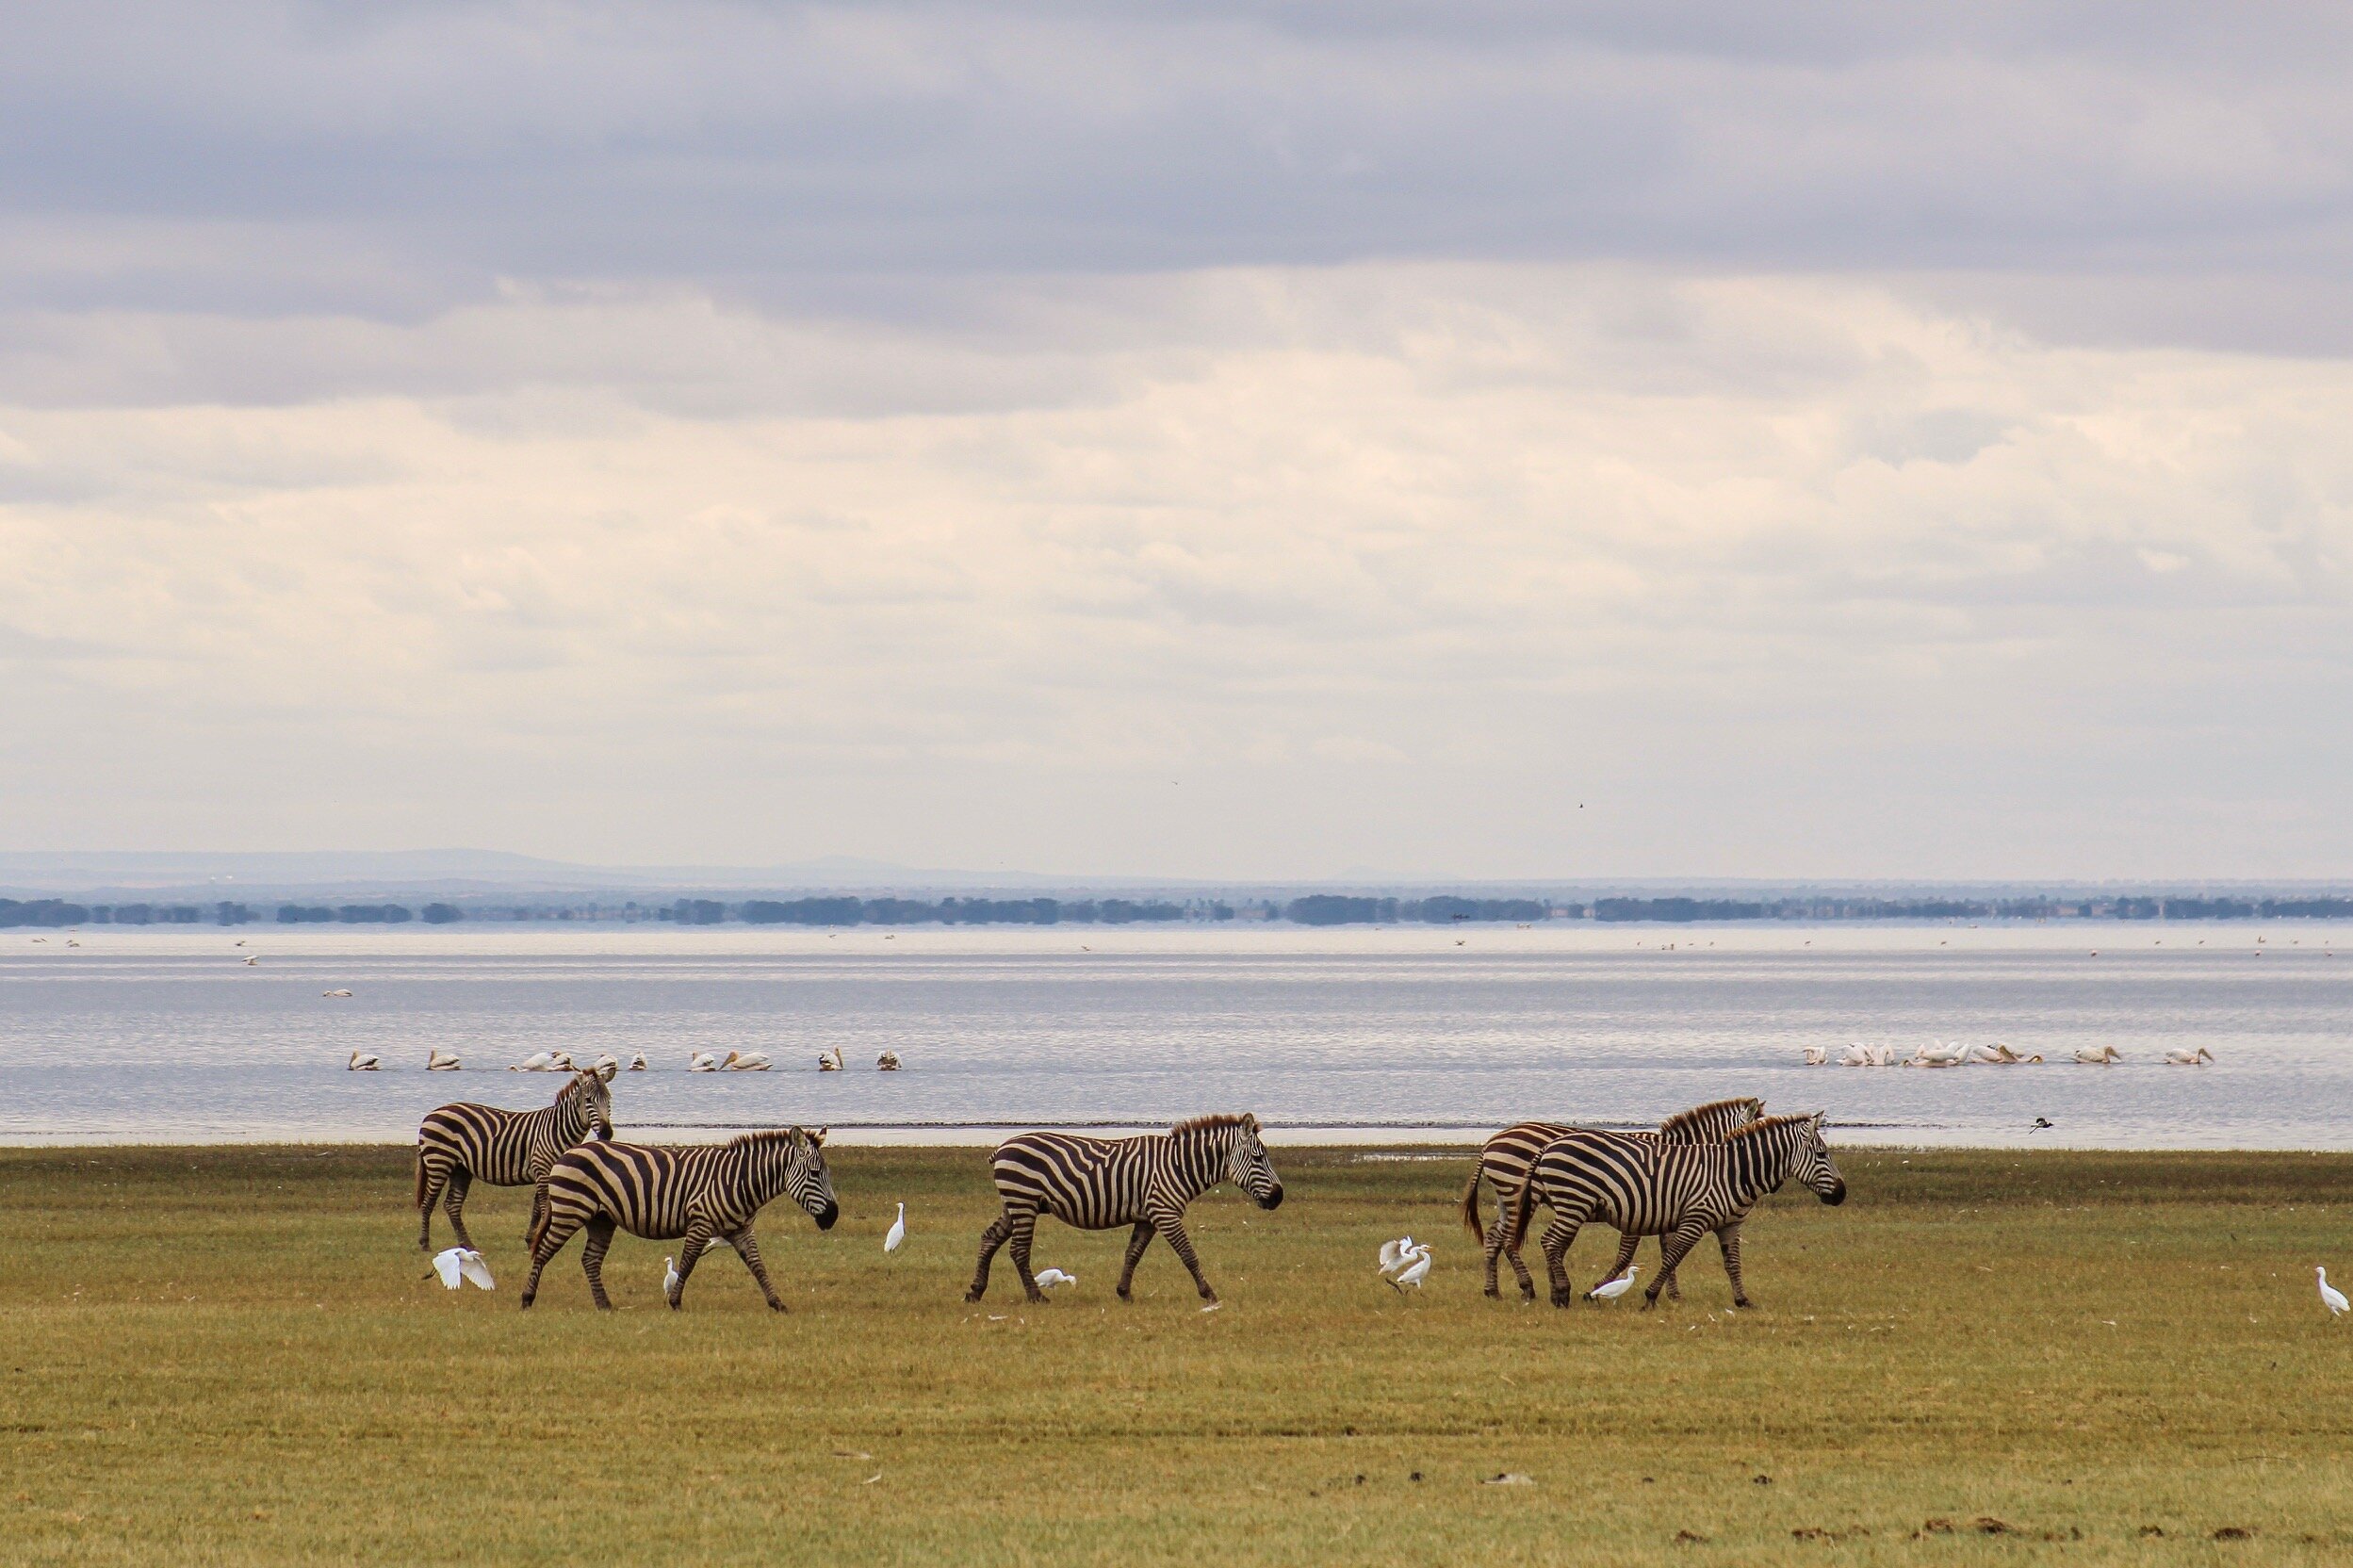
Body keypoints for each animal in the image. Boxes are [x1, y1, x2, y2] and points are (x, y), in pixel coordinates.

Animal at [416, 1054, 616, 1252]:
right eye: (589, 1100)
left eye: (609, 1100)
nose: (607, 1133)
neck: (558, 1129)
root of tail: (431, 1114)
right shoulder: (542, 1169)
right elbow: (544, 1207)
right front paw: (538, 1239)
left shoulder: (548, 1173)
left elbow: (537, 1209)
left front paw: (531, 1239)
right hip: (439, 1161)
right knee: (428, 1202)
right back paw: (425, 1243)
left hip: (460, 1168)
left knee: (452, 1205)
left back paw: (467, 1244)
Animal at [519, 1125, 842, 1309]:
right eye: (815, 1174)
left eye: (826, 1173)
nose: (833, 1217)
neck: (738, 1181)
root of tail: (569, 1151)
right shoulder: (700, 1223)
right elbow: (687, 1264)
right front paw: (675, 1302)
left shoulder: (741, 1230)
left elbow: (759, 1267)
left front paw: (777, 1303)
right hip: (570, 1210)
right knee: (543, 1251)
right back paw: (527, 1299)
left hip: (601, 1219)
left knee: (590, 1259)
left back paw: (605, 1305)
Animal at [959, 1111, 1280, 1309]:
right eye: (1258, 1158)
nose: (1279, 1197)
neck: (1178, 1166)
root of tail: (1003, 1146)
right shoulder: (1165, 1212)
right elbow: (1189, 1255)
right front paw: (1209, 1294)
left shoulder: (1148, 1217)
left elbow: (1133, 1254)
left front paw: (1124, 1293)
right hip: (1023, 1202)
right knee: (1018, 1251)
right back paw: (1036, 1297)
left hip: (1013, 1204)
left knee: (989, 1239)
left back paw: (975, 1291)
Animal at [1449, 1087, 1769, 1290]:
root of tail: (1491, 1142)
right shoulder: (1644, 1203)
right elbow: (1629, 1254)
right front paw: (1603, 1287)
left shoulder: (1668, 1206)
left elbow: (1668, 1250)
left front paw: (1672, 1293)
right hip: (1518, 1193)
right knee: (1506, 1238)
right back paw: (1527, 1287)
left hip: (1507, 1197)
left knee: (1495, 1236)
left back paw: (1495, 1290)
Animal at [1496, 1111, 1844, 1309]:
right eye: (1822, 1153)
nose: (1842, 1194)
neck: (1734, 1172)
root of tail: (1548, 1145)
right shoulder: (1694, 1218)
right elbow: (1673, 1256)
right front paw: (1651, 1296)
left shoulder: (1730, 1225)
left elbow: (1732, 1264)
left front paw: (1743, 1300)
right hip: (1572, 1202)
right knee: (1551, 1242)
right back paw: (1561, 1293)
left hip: (1567, 1205)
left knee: (1547, 1242)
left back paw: (1553, 1292)